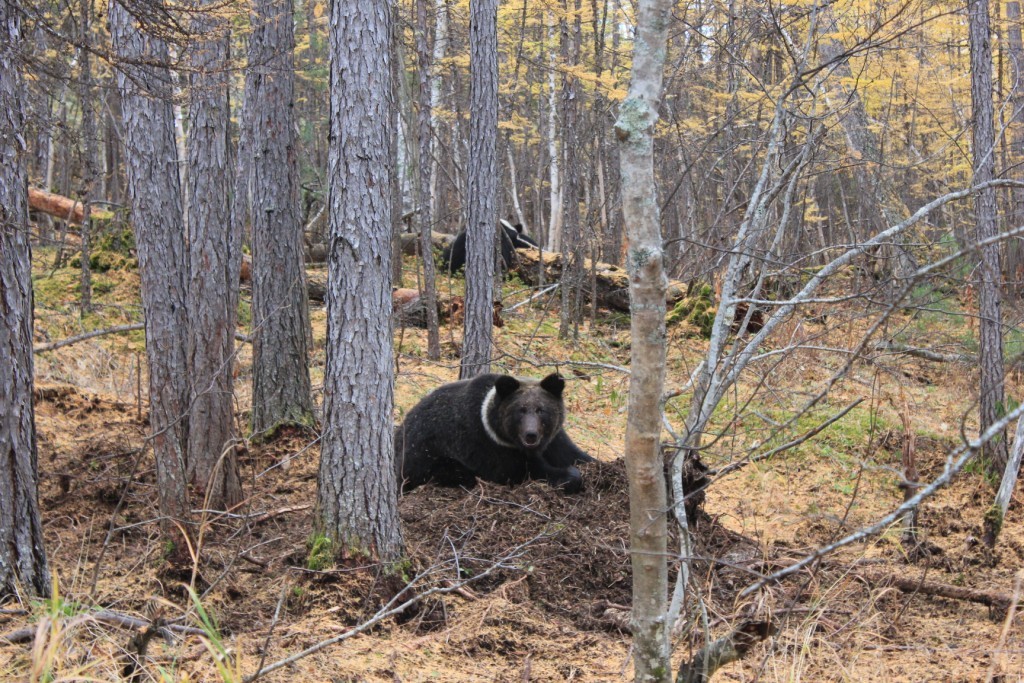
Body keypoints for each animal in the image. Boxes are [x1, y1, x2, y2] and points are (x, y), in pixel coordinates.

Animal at [395, 374, 598, 491]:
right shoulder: (487, 446)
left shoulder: (553, 438)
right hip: (426, 456)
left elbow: (573, 454)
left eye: (541, 410)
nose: (530, 434)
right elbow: (525, 471)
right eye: (520, 410)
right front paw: (569, 476)